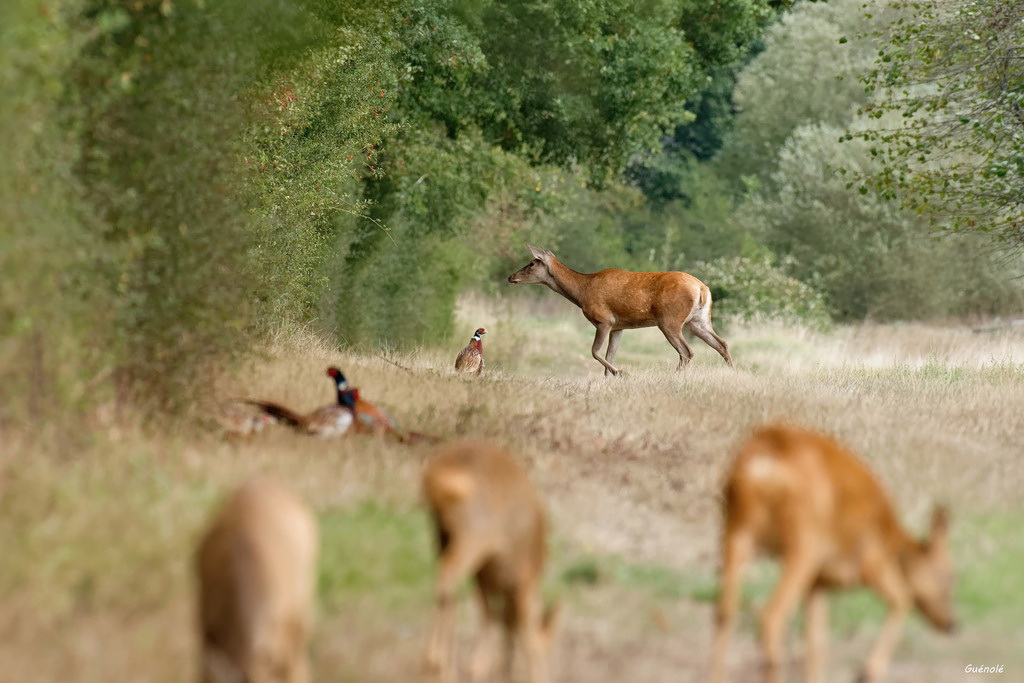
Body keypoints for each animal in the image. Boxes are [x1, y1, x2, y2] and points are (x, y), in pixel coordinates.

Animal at [423, 440, 561, 679]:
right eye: (546, 646)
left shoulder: (485, 575)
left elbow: (492, 614)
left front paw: (481, 667)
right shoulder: (522, 582)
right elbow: (523, 631)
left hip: (442, 534)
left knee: (444, 582)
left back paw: (435, 661)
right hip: (475, 536)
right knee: (448, 579)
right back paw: (441, 665)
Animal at [507, 244, 733, 376]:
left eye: (531, 263)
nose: (511, 277)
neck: (582, 291)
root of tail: (702, 288)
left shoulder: (604, 320)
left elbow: (595, 352)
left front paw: (622, 372)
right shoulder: (619, 327)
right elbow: (609, 357)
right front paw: (610, 378)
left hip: (670, 320)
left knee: (687, 352)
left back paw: (673, 377)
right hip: (698, 320)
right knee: (721, 344)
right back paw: (732, 373)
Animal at [708, 423, 954, 679]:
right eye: (948, 577)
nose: (952, 624)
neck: (891, 539)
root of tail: (763, 463)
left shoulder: (818, 583)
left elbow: (817, 644)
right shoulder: (871, 564)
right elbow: (902, 599)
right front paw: (867, 672)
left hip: (736, 532)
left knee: (724, 611)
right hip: (803, 543)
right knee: (770, 616)